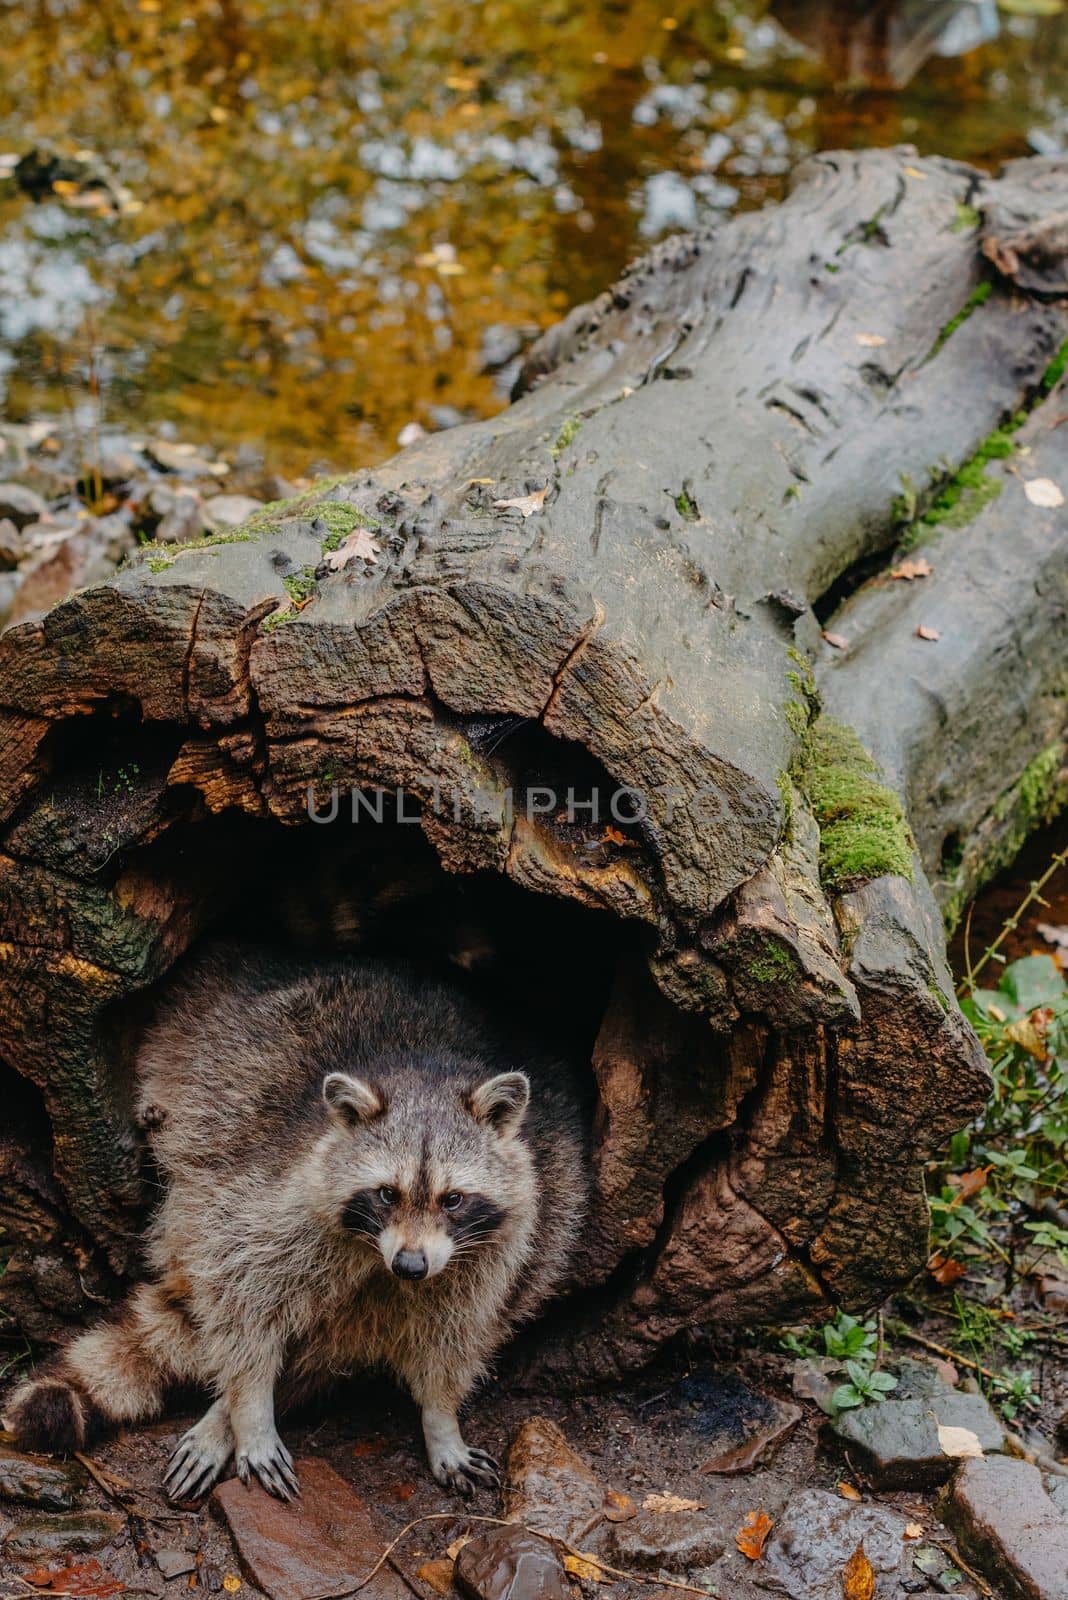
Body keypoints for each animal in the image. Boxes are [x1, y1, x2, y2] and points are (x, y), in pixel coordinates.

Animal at [4, 934, 588, 1497]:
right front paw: (247, 1412)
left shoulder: (497, 1252)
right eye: (386, 1194)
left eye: (453, 1199)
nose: (411, 1266)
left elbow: (457, 1337)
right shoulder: (267, 1197)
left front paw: (440, 1420)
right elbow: (240, 1296)